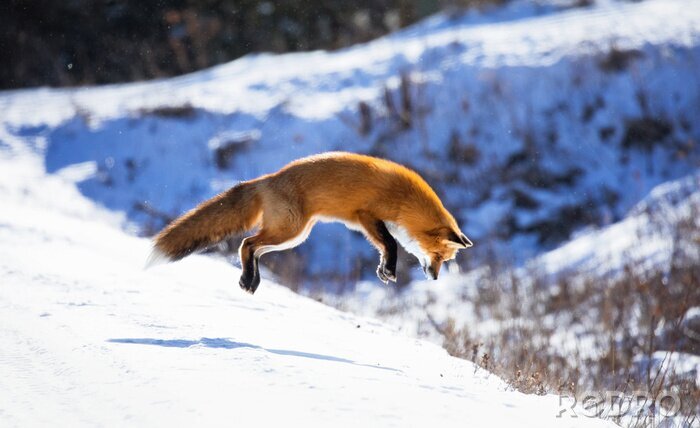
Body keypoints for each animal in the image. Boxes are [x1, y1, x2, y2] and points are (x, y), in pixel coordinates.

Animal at [147, 152, 473, 294]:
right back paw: (248, 280)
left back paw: (252, 280)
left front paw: (383, 270)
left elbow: (385, 247)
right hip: (289, 230)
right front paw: (390, 270)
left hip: (295, 235)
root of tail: (266, 179)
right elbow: (391, 244)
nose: (435, 278)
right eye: (439, 256)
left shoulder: (371, 224)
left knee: (254, 248)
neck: (406, 202)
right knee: (246, 243)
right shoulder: (366, 216)